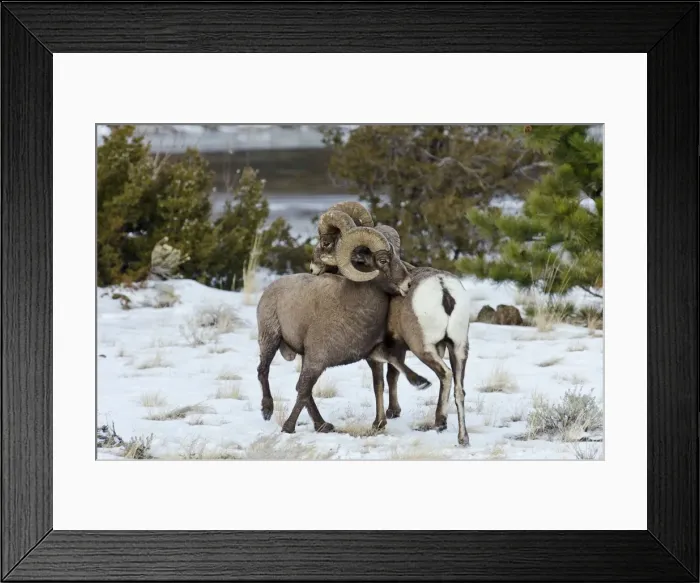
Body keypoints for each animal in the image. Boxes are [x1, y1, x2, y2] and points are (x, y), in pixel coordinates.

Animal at [256, 208, 412, 435]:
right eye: (383, 260)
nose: (407, 284)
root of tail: (270, 289)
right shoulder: (316, 360)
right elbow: (303, 390)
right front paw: (288, 428)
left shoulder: (370, 358)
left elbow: (378, 385)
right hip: (269, 340)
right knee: (263, 371)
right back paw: (267, 410)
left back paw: (323, 425)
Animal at [311, 211, 471, 446]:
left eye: (326, 242)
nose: (313, 269)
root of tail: (443, 289)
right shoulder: (398, 348)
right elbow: (393, 376)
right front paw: (394, 411)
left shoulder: (375, 352)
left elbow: (378, 383)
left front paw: (378, 423)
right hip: (458, 348)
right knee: (459, 389)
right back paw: (462, 437)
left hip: (424, 348)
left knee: (445, 375)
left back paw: (440, 422)